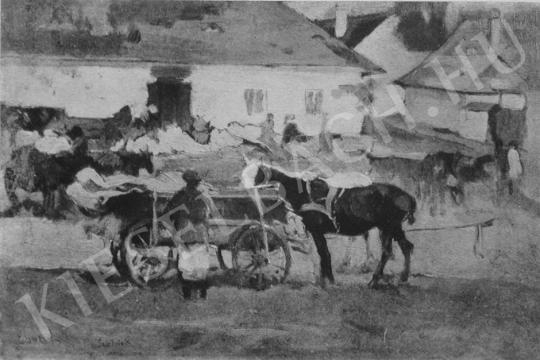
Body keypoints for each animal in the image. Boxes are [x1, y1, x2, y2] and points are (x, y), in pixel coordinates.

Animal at [242, 162, 418, 288]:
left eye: (256, 174)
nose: (247, 190)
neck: (305, 192)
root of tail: (407, 196)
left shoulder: (316, 229)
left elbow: (324, 254)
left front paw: (328, 281)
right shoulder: (314, 231)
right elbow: (322, 254)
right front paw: (324, 279)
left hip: (387, 227)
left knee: (387, 252)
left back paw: (373, 280)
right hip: (395, 228)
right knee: (406, 246)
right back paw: (403, 277)